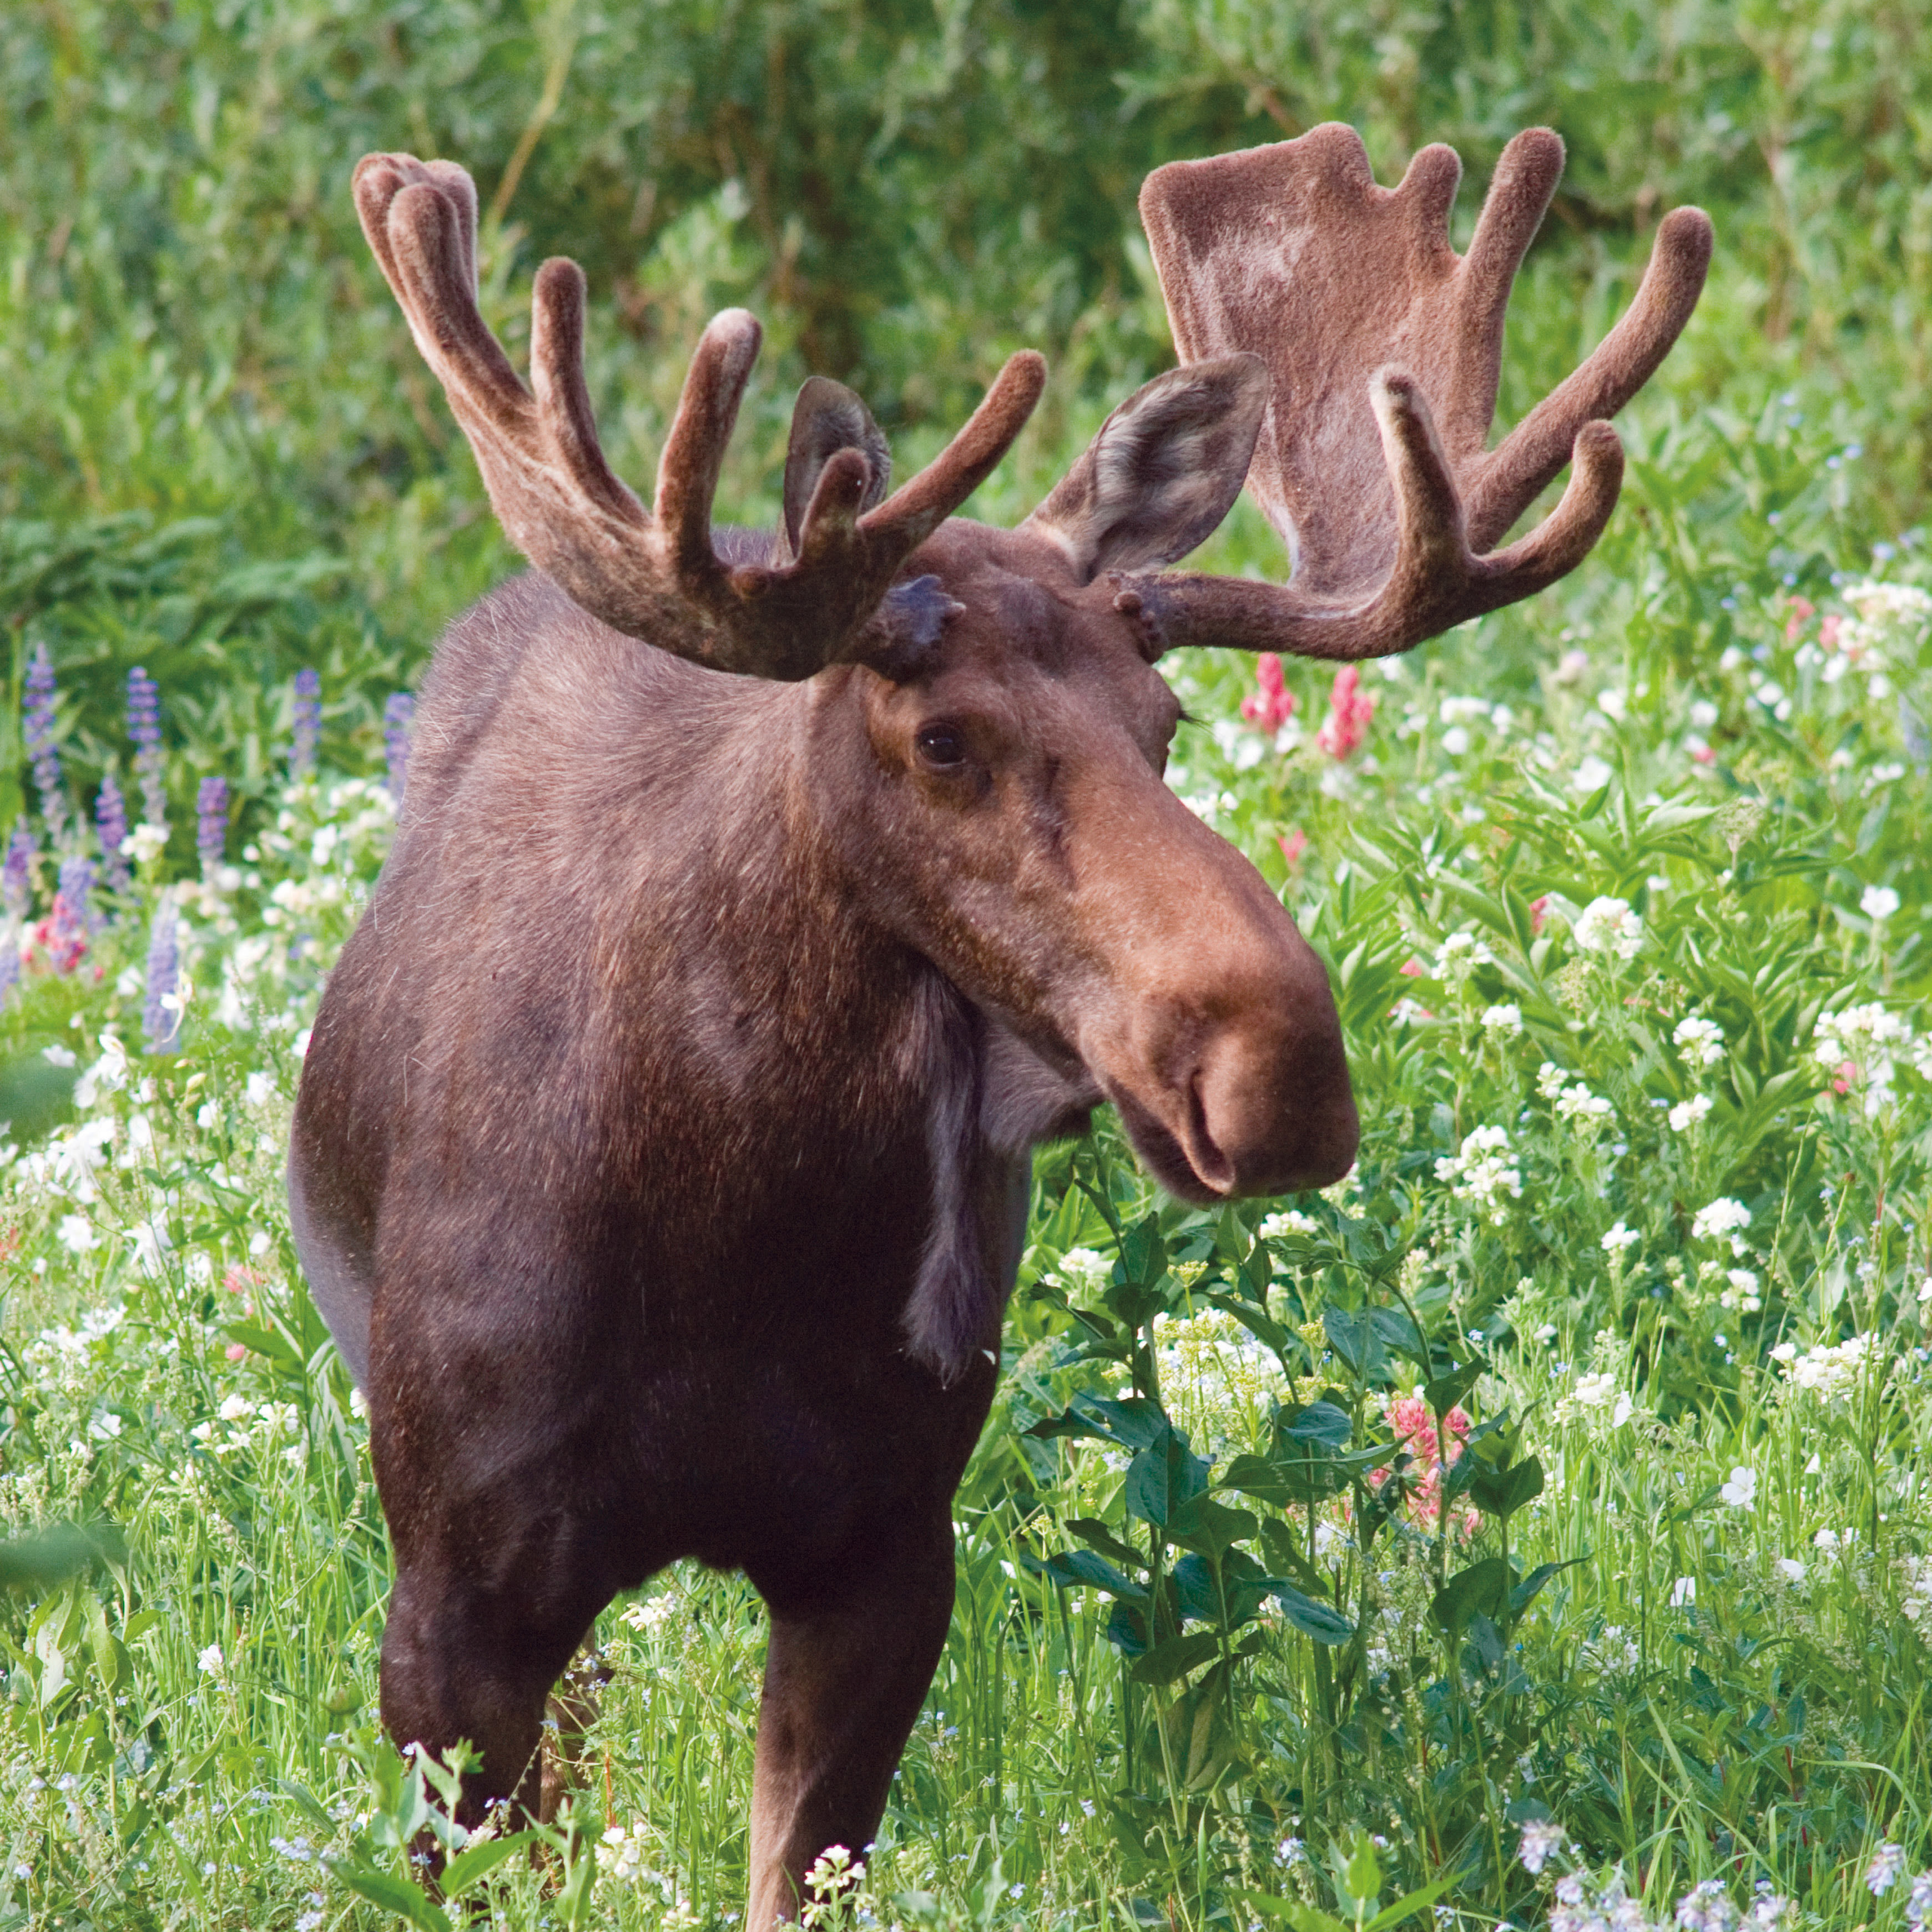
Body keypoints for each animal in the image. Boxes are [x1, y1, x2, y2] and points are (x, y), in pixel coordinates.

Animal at [286, 120, 1708, 1916]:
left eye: (1165, 718)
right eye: (943, 738)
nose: (1281, 1068)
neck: (732, 1238)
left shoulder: (889, 1546)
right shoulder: (456, 1590)